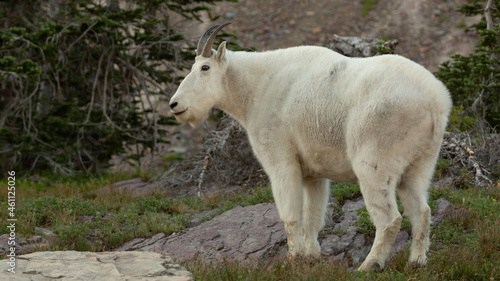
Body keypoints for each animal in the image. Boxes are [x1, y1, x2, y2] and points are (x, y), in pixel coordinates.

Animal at [169, 23, 454, 270]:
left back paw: (369, 265)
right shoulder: (314, 173)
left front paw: (293, 259)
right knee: (421, 210)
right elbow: (313, 217)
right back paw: (416, 262)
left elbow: (291, 215)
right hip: (421, 160)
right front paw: (312, 257)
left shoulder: (281, 161)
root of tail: (436, 102)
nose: (175, 105)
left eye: (205, 67)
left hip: (376, 157)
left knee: (389, 218)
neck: (255, 89)